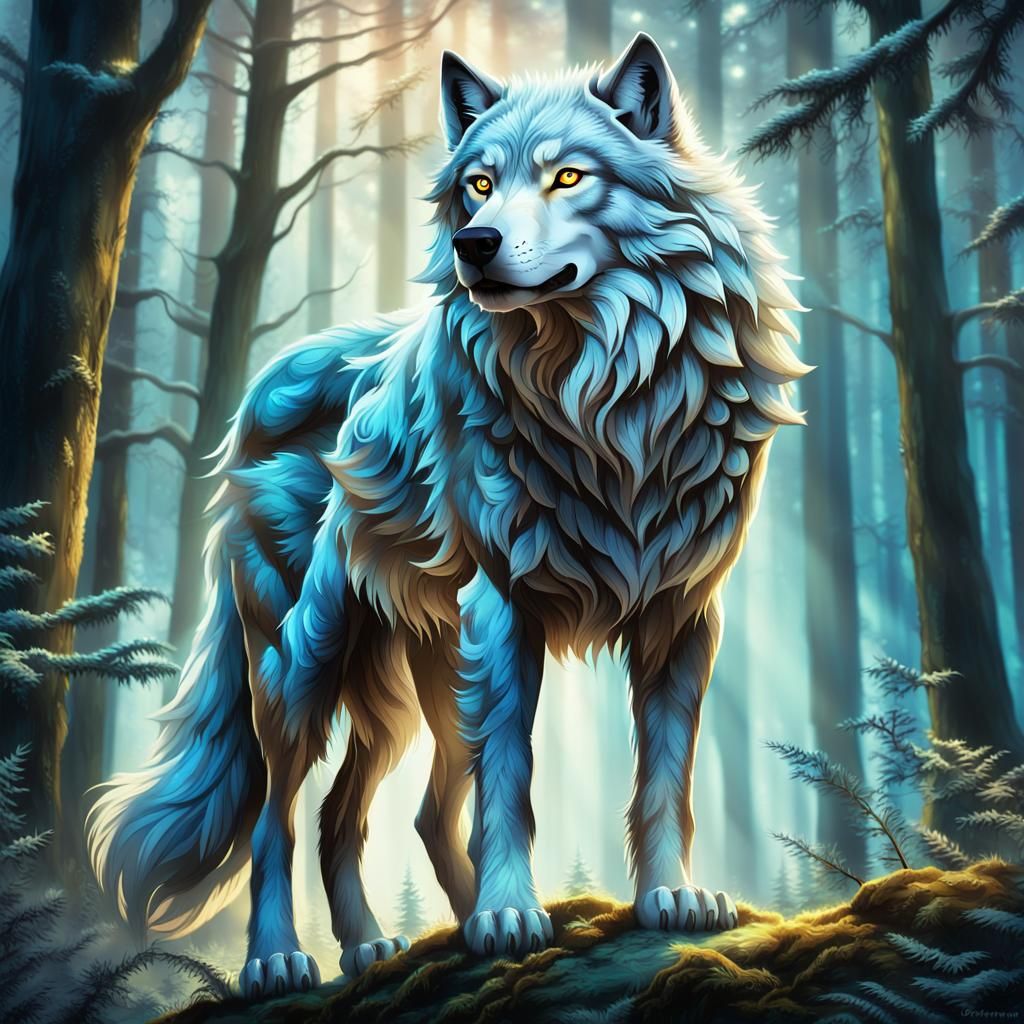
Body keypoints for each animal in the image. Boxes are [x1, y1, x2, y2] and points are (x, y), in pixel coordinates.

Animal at [87, 33, 806, 998]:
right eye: (477, 183)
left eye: (568, 177)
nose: (475, 243)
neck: (603, 401)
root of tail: (260, 386)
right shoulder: (506, 612)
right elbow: (514, 781)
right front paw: (512, 910)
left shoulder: (683, 615)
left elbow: (665, 781)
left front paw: (670, 900)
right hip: (305, 662)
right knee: (282, 816)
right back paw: (285, 958)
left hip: (409, 697)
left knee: (376, 816)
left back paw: (408, 940)